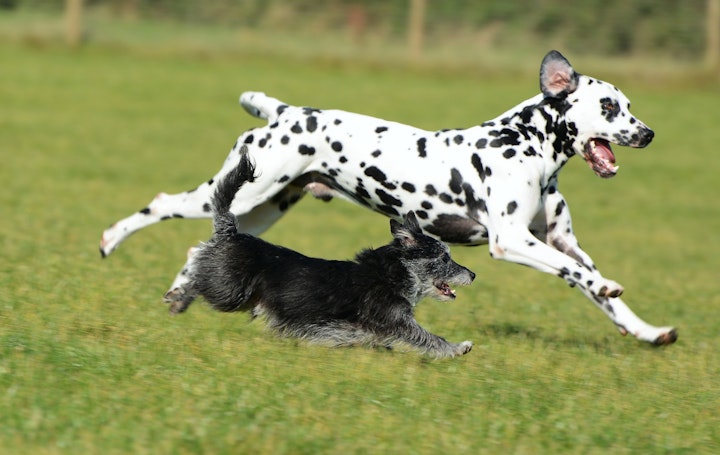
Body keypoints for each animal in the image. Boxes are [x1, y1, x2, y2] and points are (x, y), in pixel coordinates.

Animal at [165, 148, 476, 358]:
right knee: (195, 276)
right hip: (229, 292)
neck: (392, 274)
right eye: (444, 257)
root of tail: (229, 230)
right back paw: (177, 297)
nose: (473, 274)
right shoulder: (396, 322)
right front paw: (458, 347)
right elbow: (429, 338)